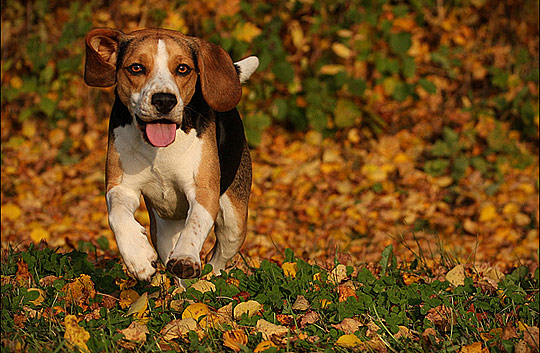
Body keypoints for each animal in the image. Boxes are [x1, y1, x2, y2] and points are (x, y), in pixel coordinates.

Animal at [84, 26, 260, 280]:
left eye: (183, 68)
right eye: (136, 68)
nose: (164, 100)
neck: (160, 149)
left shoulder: (204, 192)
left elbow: (195, 224)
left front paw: (185, 257)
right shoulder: (122, 186)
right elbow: (117, 214)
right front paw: (138, 257)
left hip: (233, 224)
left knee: (216, 259)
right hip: (164, 229)